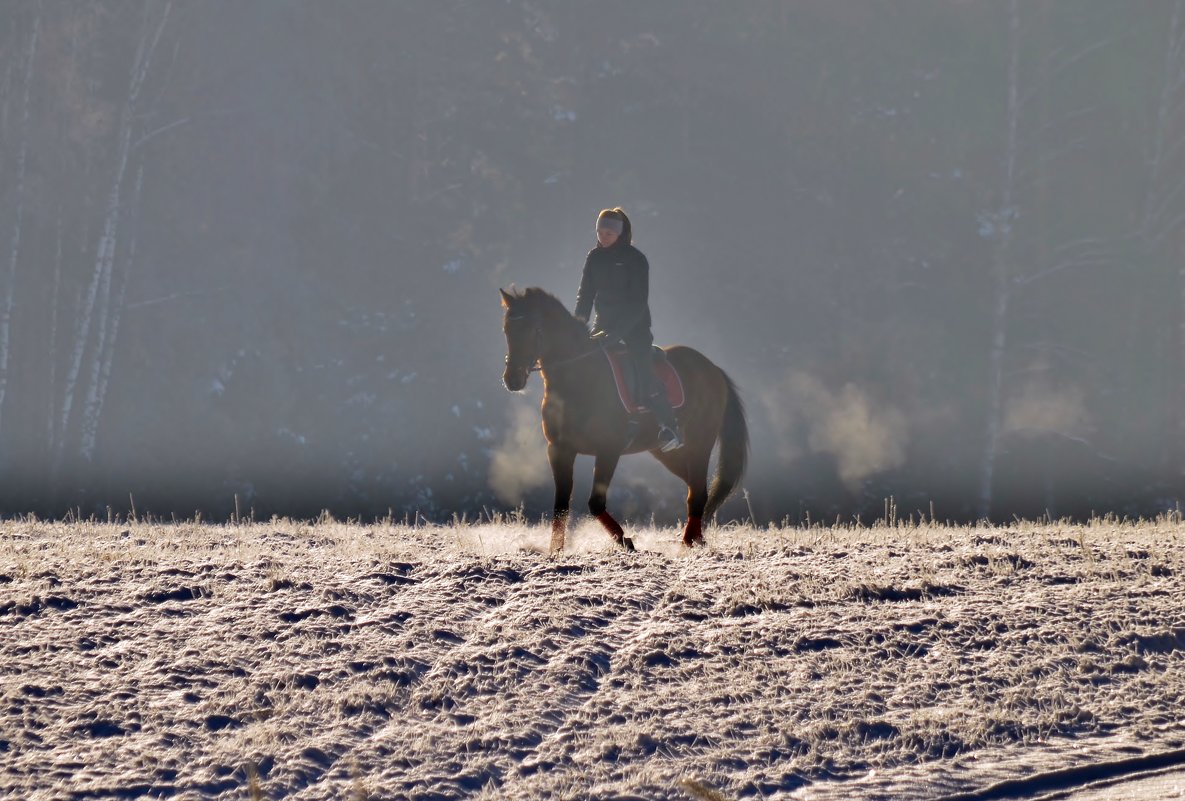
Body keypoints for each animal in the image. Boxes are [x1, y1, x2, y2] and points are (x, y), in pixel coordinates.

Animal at [500, 284, 748, 554]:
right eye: (507, 330)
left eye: (535, 330)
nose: (512, 379)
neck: (578, 379)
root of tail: (713, 370)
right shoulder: (559, 449)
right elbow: (561, 505)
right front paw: (556, 551)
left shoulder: (609, 450)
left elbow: (596, 502)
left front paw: (625, 541)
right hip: (667, 453)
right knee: (697, 486)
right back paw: (696, 538)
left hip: (699, 445)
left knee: (698, 492)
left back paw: (689, 541)